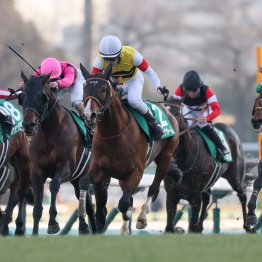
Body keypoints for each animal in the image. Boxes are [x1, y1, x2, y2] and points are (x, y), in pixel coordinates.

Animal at [20, 72, 96, 235]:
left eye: (41, 96)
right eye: (22, 96)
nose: (28, 125)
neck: (50, 132)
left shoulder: (65, 167)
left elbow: (54, 185)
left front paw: (53, 223)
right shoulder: (37, 171)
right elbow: (37, 208)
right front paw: (34, 233)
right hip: (77, 179)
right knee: (85, 201)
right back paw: (85, 227)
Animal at [78, 64, 179, 234]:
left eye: (103, 89)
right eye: (84, 88)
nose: (88, 115)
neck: (114, 134)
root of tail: (167, 110)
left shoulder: (136, 172)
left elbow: (124, 203)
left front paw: (130, 217)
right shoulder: (100, 168)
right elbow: (85, 184)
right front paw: (83, 214)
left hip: (165, 157)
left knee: (153, 189)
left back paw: (141, 218)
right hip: (121, 177)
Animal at [165, 98, 255, 233]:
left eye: (176, 113)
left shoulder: (195, 196)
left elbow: (191, 226)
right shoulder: (171, 194)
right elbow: (169, 227)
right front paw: (179, 228)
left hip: (235, 177)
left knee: (242, 194)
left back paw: (247, 225)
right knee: (207, 197)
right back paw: (200, 226)